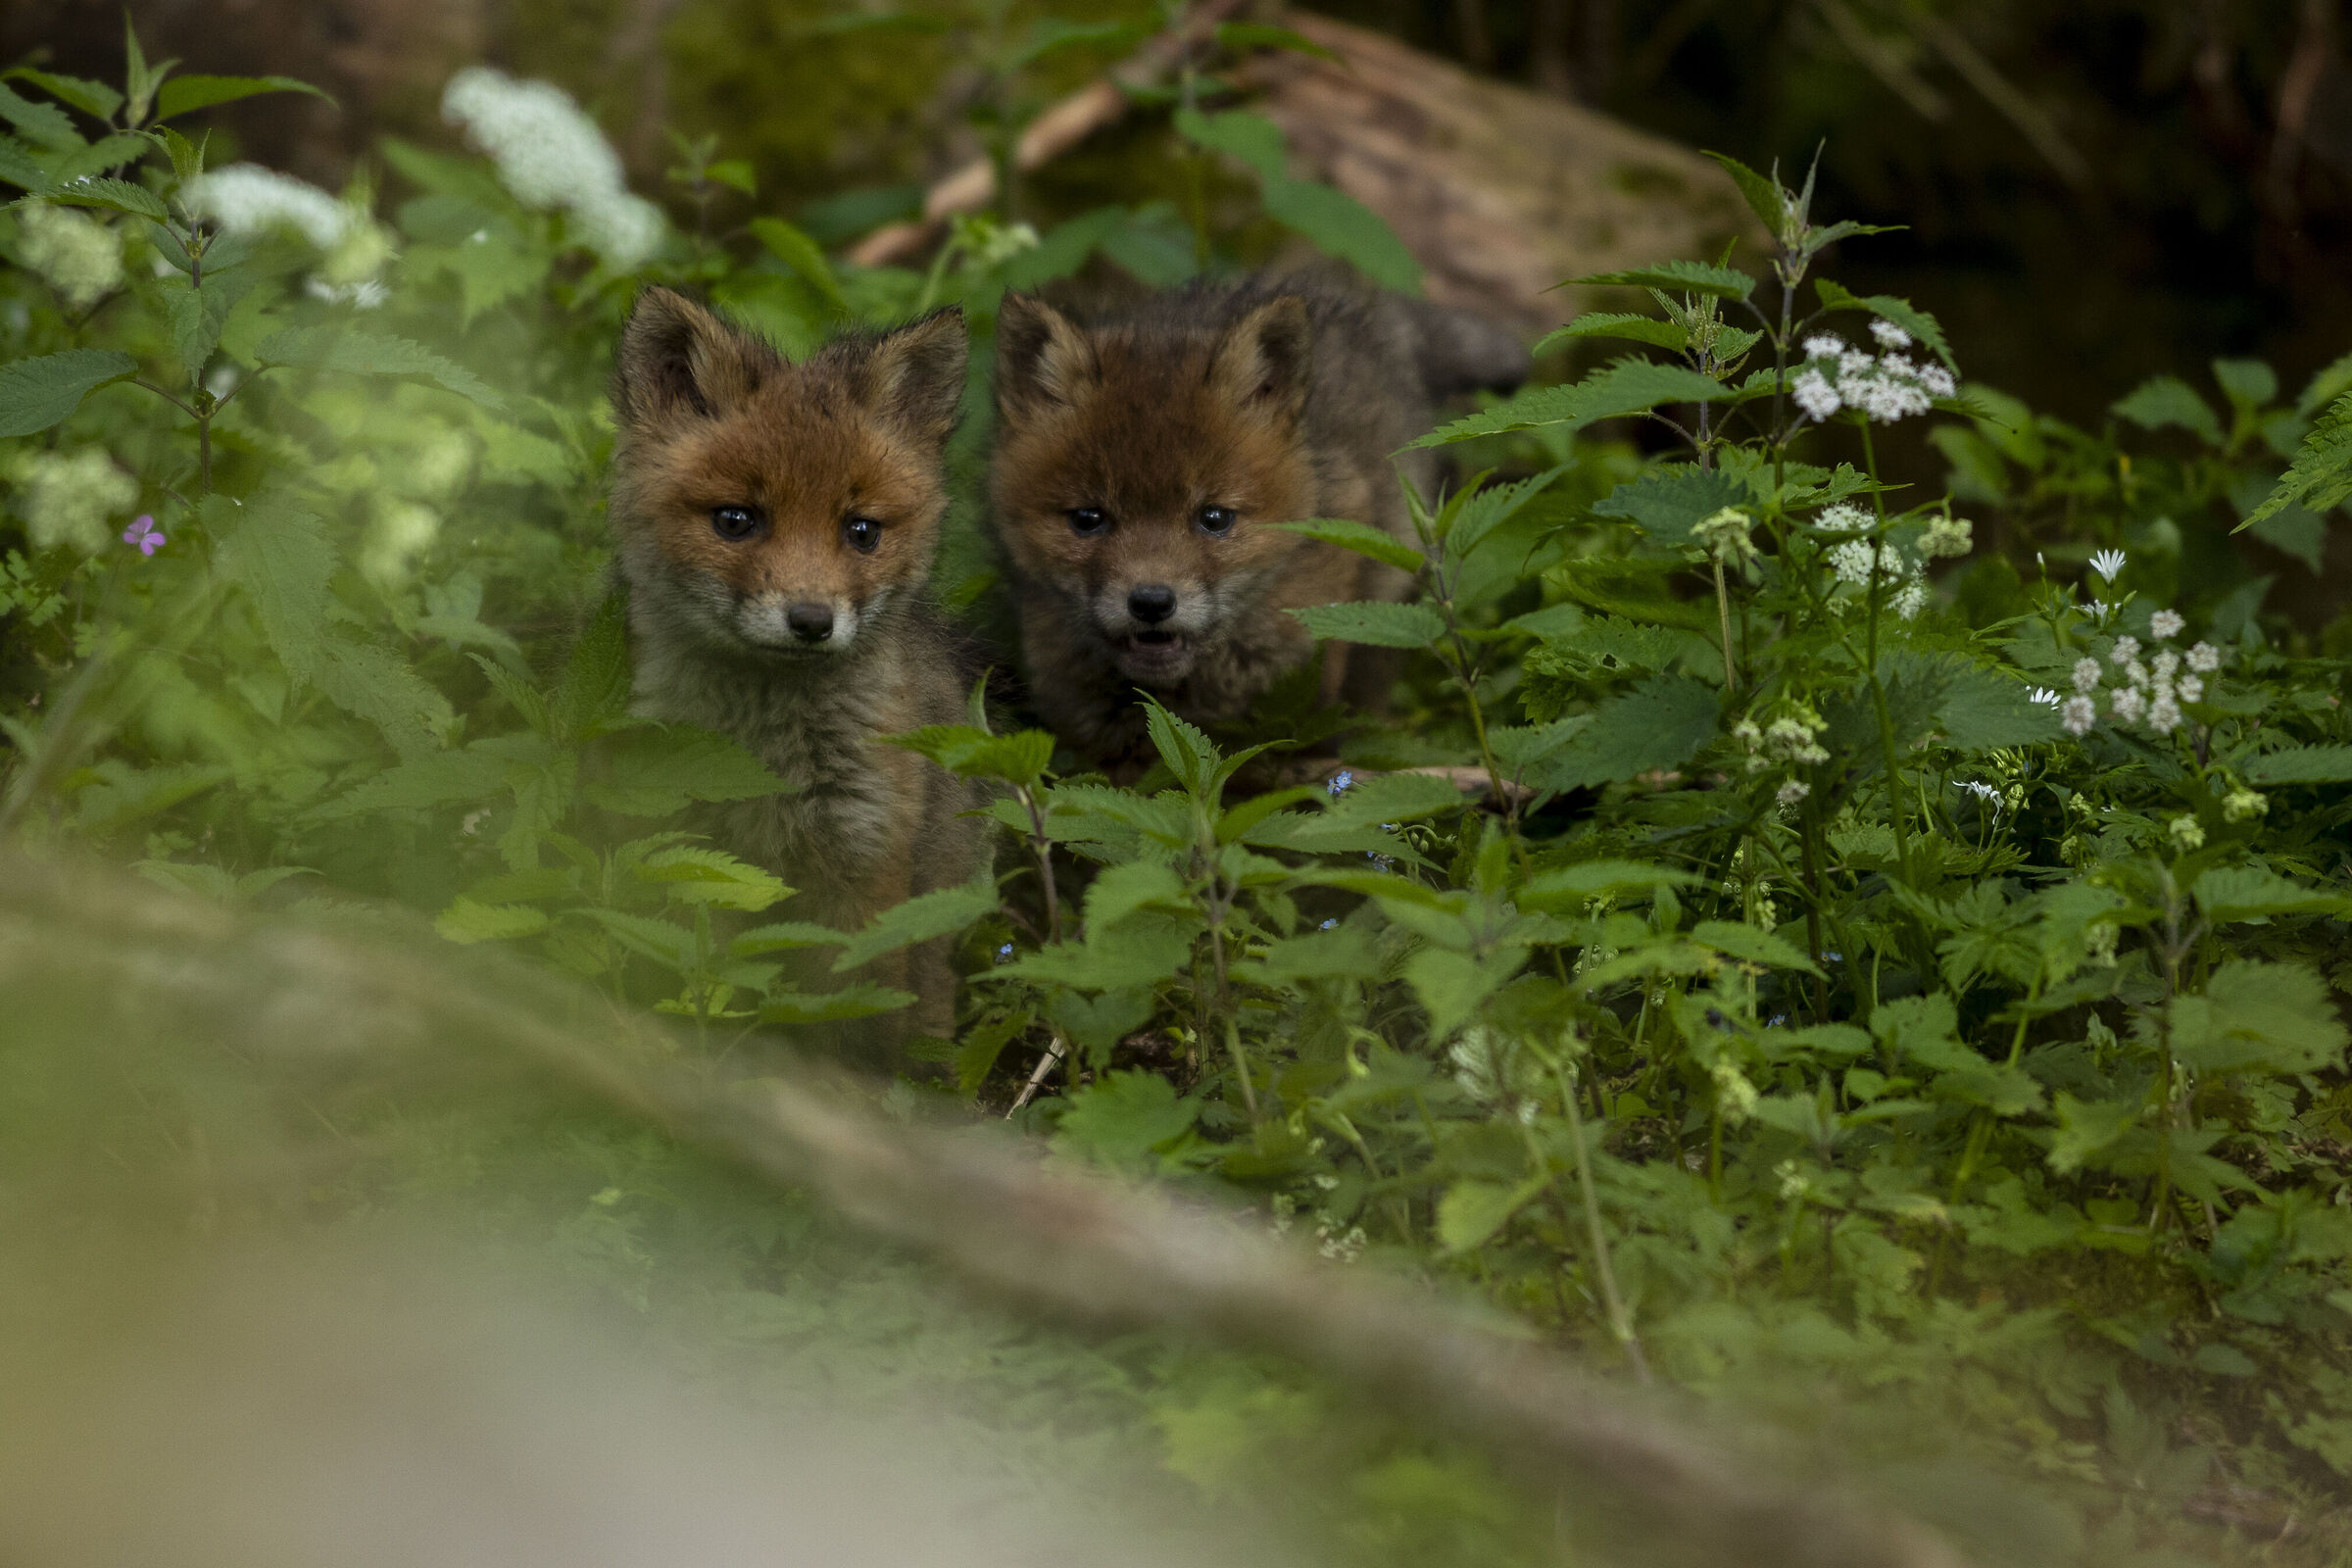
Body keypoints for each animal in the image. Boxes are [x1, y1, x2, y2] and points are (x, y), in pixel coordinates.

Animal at [609, 286, 990, 1050]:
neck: (769, 761)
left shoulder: (865, 857)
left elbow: (848, 1006)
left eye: (862, 531)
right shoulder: (688, 846)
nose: (812, 620)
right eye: (735, 520)